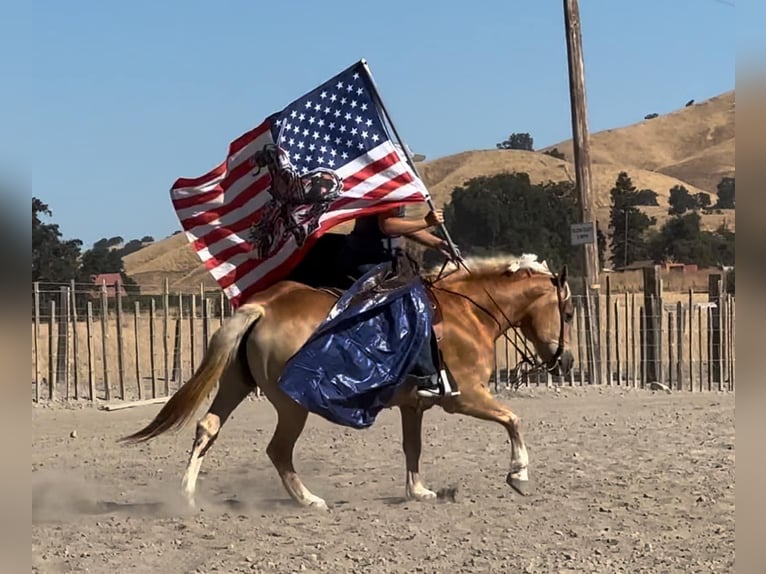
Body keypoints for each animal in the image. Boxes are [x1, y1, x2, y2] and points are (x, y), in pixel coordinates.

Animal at [120, 256, 576, 512]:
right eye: (569, 313)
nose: (567, 360)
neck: (468, 312)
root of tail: (264, 307)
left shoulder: (414, 406)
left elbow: (413, 447)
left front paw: (418, 491)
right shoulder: (466, 397)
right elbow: (513, 420)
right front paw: (519, 474)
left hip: (235, 386)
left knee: (207, 428)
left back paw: (187, 496)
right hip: (292, 407)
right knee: (277, 450)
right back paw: (308, 500)